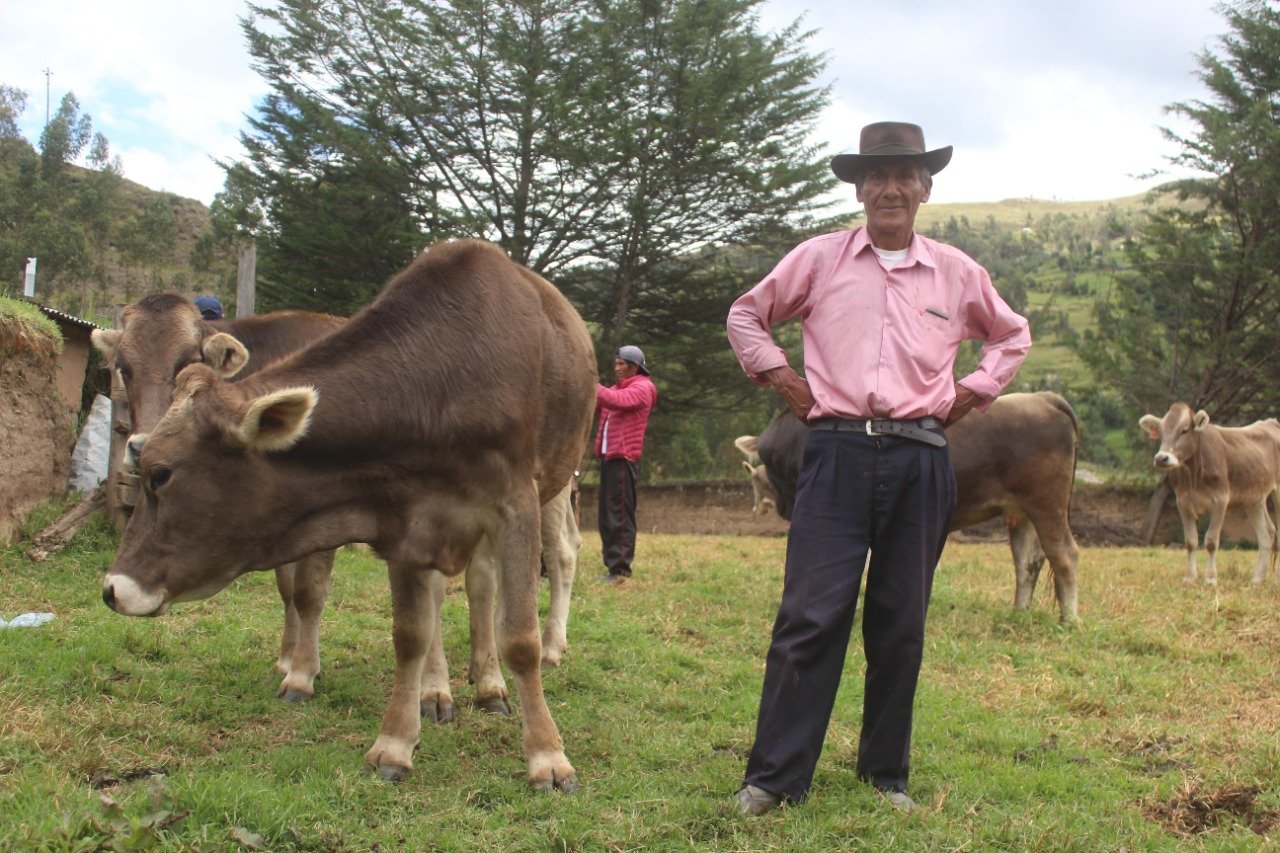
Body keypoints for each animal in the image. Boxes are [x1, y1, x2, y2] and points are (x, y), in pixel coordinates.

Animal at [102, 235, 596, 788]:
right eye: (121, 368)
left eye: (162, 474)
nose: (113, 589)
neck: (442, 384)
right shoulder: (406, 514)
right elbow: (409, 632)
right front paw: (394, 740)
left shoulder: (514, 502)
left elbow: (518, 638)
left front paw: (547, 755)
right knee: (466, 589)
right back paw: (445, 688)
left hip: (555, 484)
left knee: (550, 561)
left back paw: (517, 667)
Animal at [747, 389, 1080, 617]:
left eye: (757, 482)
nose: (756, 507)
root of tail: (1044, 398)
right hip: (1022, 512)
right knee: (1027, 561)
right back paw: (1019, 613)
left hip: (1047, 503)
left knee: (1064, 555)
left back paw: (1069, 620)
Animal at [1141, 402, 1280, 581]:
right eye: (1161, 431)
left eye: (1184, 430)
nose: (1161, 458)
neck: (1193, 478)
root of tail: (1271, 422)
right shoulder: (1182, 502)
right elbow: (1191, 541)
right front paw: (1190, 577)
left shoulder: (1220, 500)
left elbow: (1211, 541)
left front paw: (1211, 578)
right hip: (1254, 499)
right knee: (1267, 534)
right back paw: (1257, 579)